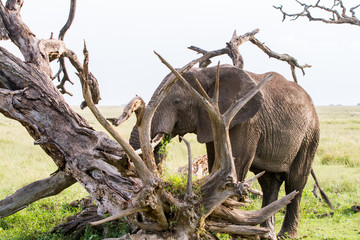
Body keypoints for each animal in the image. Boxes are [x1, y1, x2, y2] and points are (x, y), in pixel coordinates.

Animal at [129, 64, 318, 238]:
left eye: (177, 101)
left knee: (295, 182)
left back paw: (285, 235)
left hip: (310, 135)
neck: (209, 74)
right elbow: (215, 164)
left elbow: (236, 164)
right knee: (269, 184)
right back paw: (267, 233)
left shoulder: (246, 122)